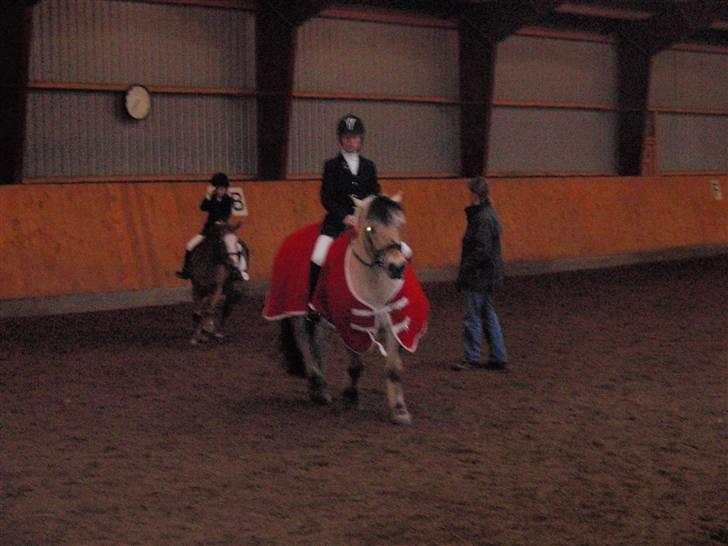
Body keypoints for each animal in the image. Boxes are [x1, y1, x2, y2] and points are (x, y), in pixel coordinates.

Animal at [264, 193, 430, 422]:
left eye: (399, 224)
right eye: (370, 228)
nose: (396, 267)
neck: (375, 284)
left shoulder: (395, 324)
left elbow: (394, 368)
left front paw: (399, 410)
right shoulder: (353, 326)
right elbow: (355, 365)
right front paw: (350, 397)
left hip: (321, 319)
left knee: (317, 344)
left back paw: (320, 388)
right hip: (295, 312)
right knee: (304, 343)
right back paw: (318, 386)